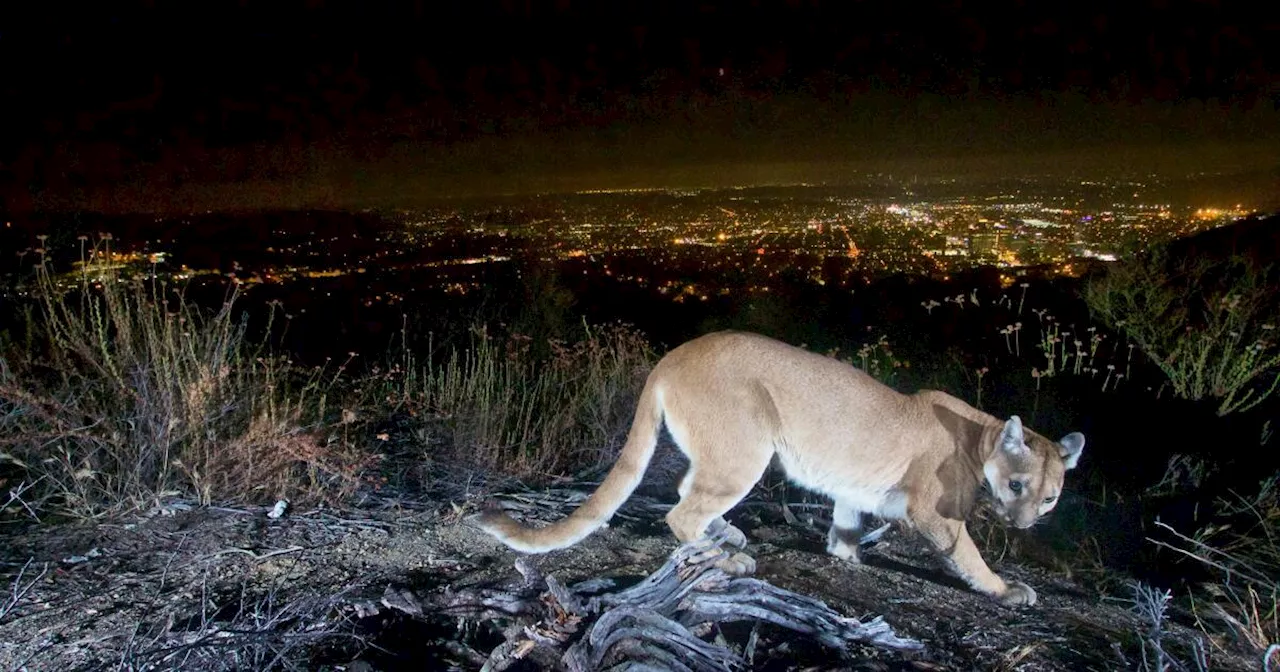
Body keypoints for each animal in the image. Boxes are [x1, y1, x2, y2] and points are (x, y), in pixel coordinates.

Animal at [476, 327, 1085, 604]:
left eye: (1049, 496)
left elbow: (846, 522)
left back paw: (728, 536)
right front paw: (1004, 589)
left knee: (687, 490)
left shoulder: (854, 488)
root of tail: (673, 354)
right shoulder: (935, 512)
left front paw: (845, 554)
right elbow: (967, 553)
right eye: (1017, 485)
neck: (981, 435)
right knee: (682, 511)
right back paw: (727, 557)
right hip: (748, 449)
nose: (1024, 523)